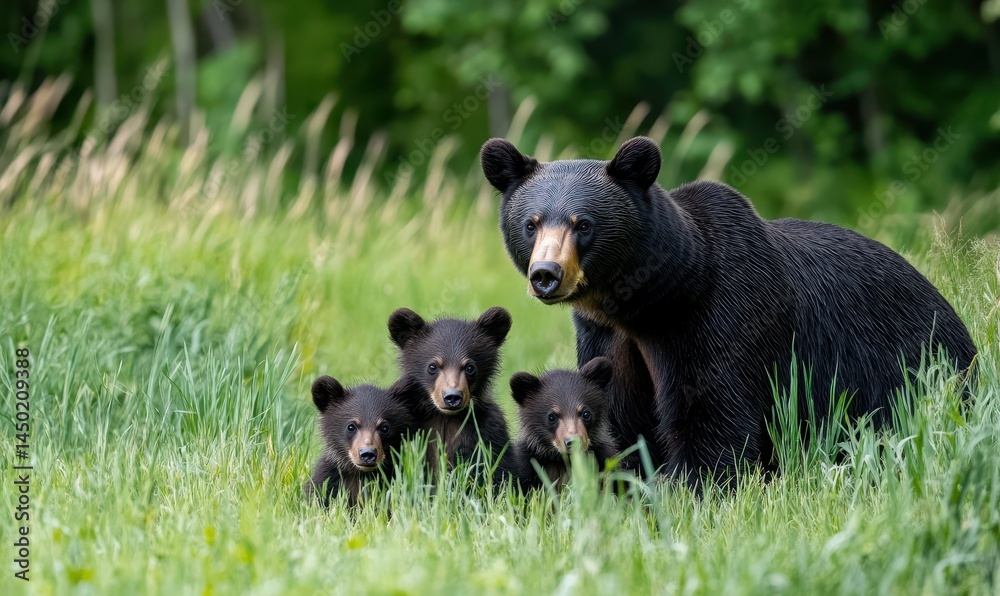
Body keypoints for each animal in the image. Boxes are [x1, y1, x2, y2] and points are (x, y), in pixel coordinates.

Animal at [387, 306, 515, 483]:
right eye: (432, 366)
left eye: (470, 367)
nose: (452, 397)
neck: (445, 417)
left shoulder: (489, 431)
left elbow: (499, 469)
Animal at [510, 357, 618, 491]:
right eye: (552, 417)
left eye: (586, 413)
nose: (573, 441)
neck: (562, 459)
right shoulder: (526, 463)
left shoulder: (604, 457)